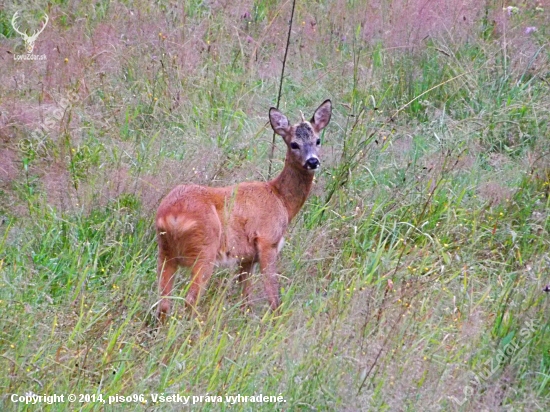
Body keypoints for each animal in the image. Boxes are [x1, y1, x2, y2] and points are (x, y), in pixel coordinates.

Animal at [157, 100, 334, 318]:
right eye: (294, 144)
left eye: (318, 140)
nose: (312, 161)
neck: (281, 199)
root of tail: (172, 216)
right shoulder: (267, 241)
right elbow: (273, 295)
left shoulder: (246, 257)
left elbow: (245, 297)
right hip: (205, 251)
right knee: (190, 301)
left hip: (165, 253)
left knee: (163, 304)